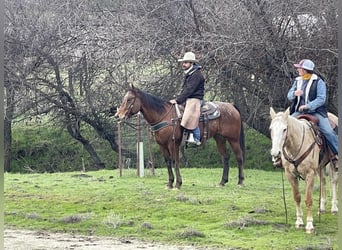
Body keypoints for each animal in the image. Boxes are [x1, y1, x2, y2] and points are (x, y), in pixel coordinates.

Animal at [116, 85, 244, 188]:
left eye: (129, 99)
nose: (118, 116)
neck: (163, 116)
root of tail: (231, 106)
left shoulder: (173, 144)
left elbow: (175, 161)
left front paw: (178, 183)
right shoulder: (162, 145)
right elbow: (168, 162)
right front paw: (170, 183)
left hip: (233, 139)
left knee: (239, 157)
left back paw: (240, 182)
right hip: (220, 138)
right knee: (225, 157)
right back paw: (222, 182)